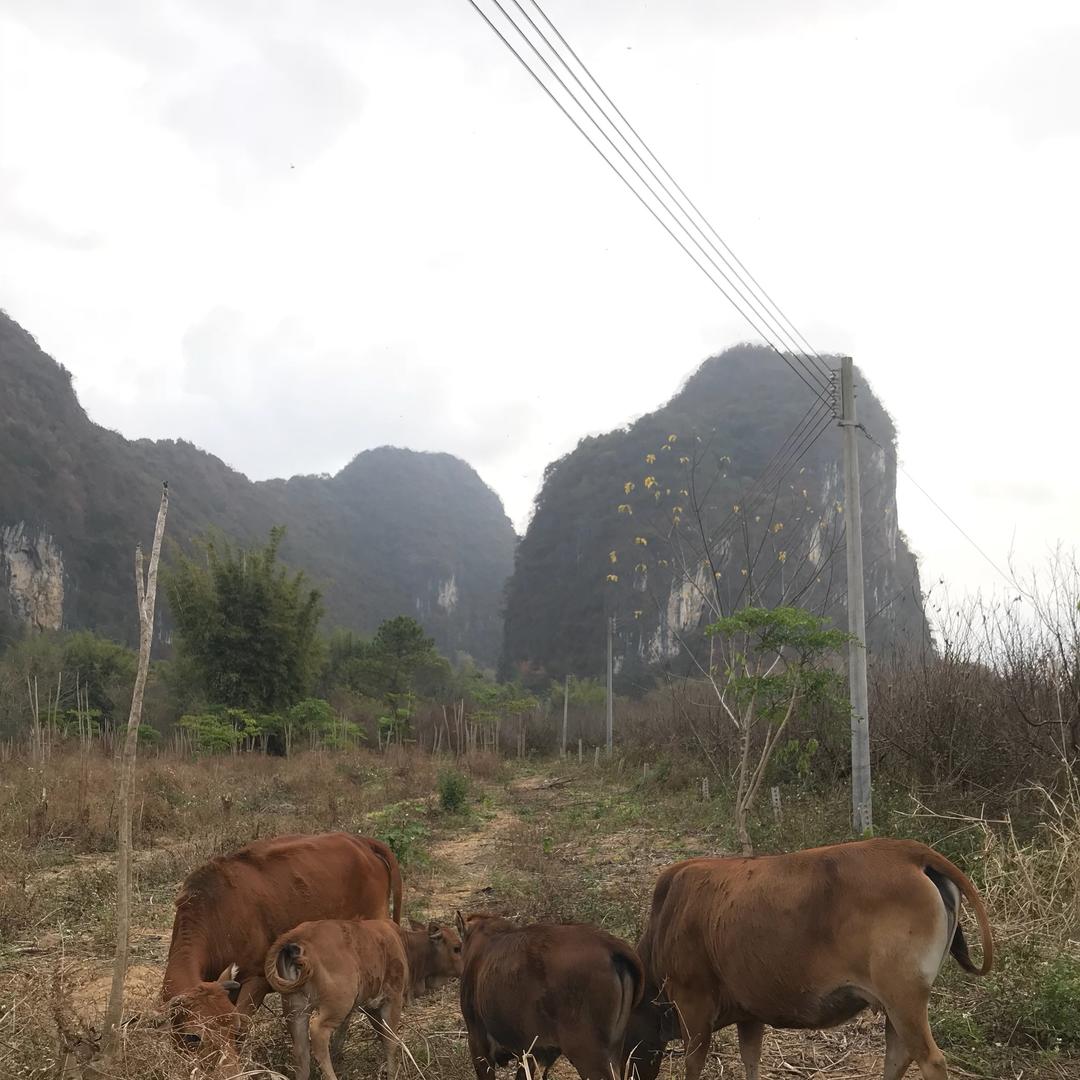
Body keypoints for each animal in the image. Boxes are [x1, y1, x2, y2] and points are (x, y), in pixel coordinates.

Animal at [265, 915, 464, 1080]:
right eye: (457, 948)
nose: (465, 967)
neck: (404, 945)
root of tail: (299, 935)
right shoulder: (393, 1000)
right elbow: (391, 1042)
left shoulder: (371, 1007)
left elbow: (382, 1038)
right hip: (336, 1005)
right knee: (319, 1034)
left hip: (295, 1008)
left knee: (301, 1051)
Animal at [626, 833, 993, 1080]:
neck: (666, 919)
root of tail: (911, 852)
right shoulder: (749, 1013)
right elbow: (750, 1059)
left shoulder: (693, 1006)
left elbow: (693, 1063)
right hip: (898, 1006)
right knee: (897, 1056)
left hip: (903, 998)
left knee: (930, 1060)